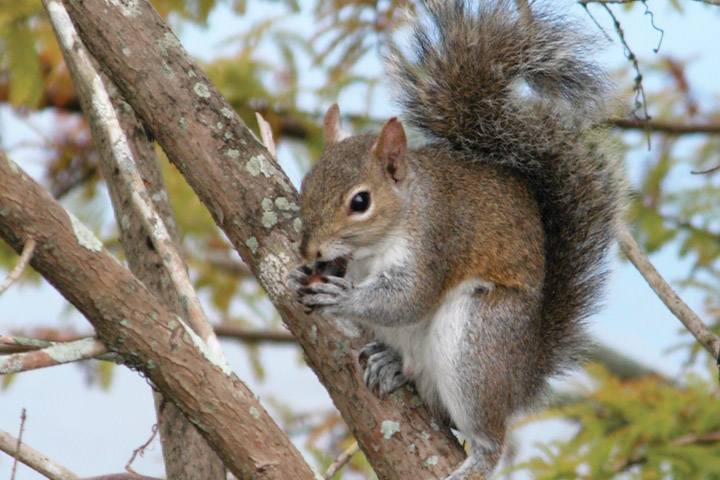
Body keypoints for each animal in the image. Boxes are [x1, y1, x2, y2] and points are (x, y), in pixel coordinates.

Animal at [289, 0, 621, 478]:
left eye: (360, 201)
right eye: (306, 182)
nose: (310, 249)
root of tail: (524, 377)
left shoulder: (436, 241)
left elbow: (409, 298)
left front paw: (341, 296)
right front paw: (305, 273)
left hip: (476, 343)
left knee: (488, 437)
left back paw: (473, 459)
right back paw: (393, 365)